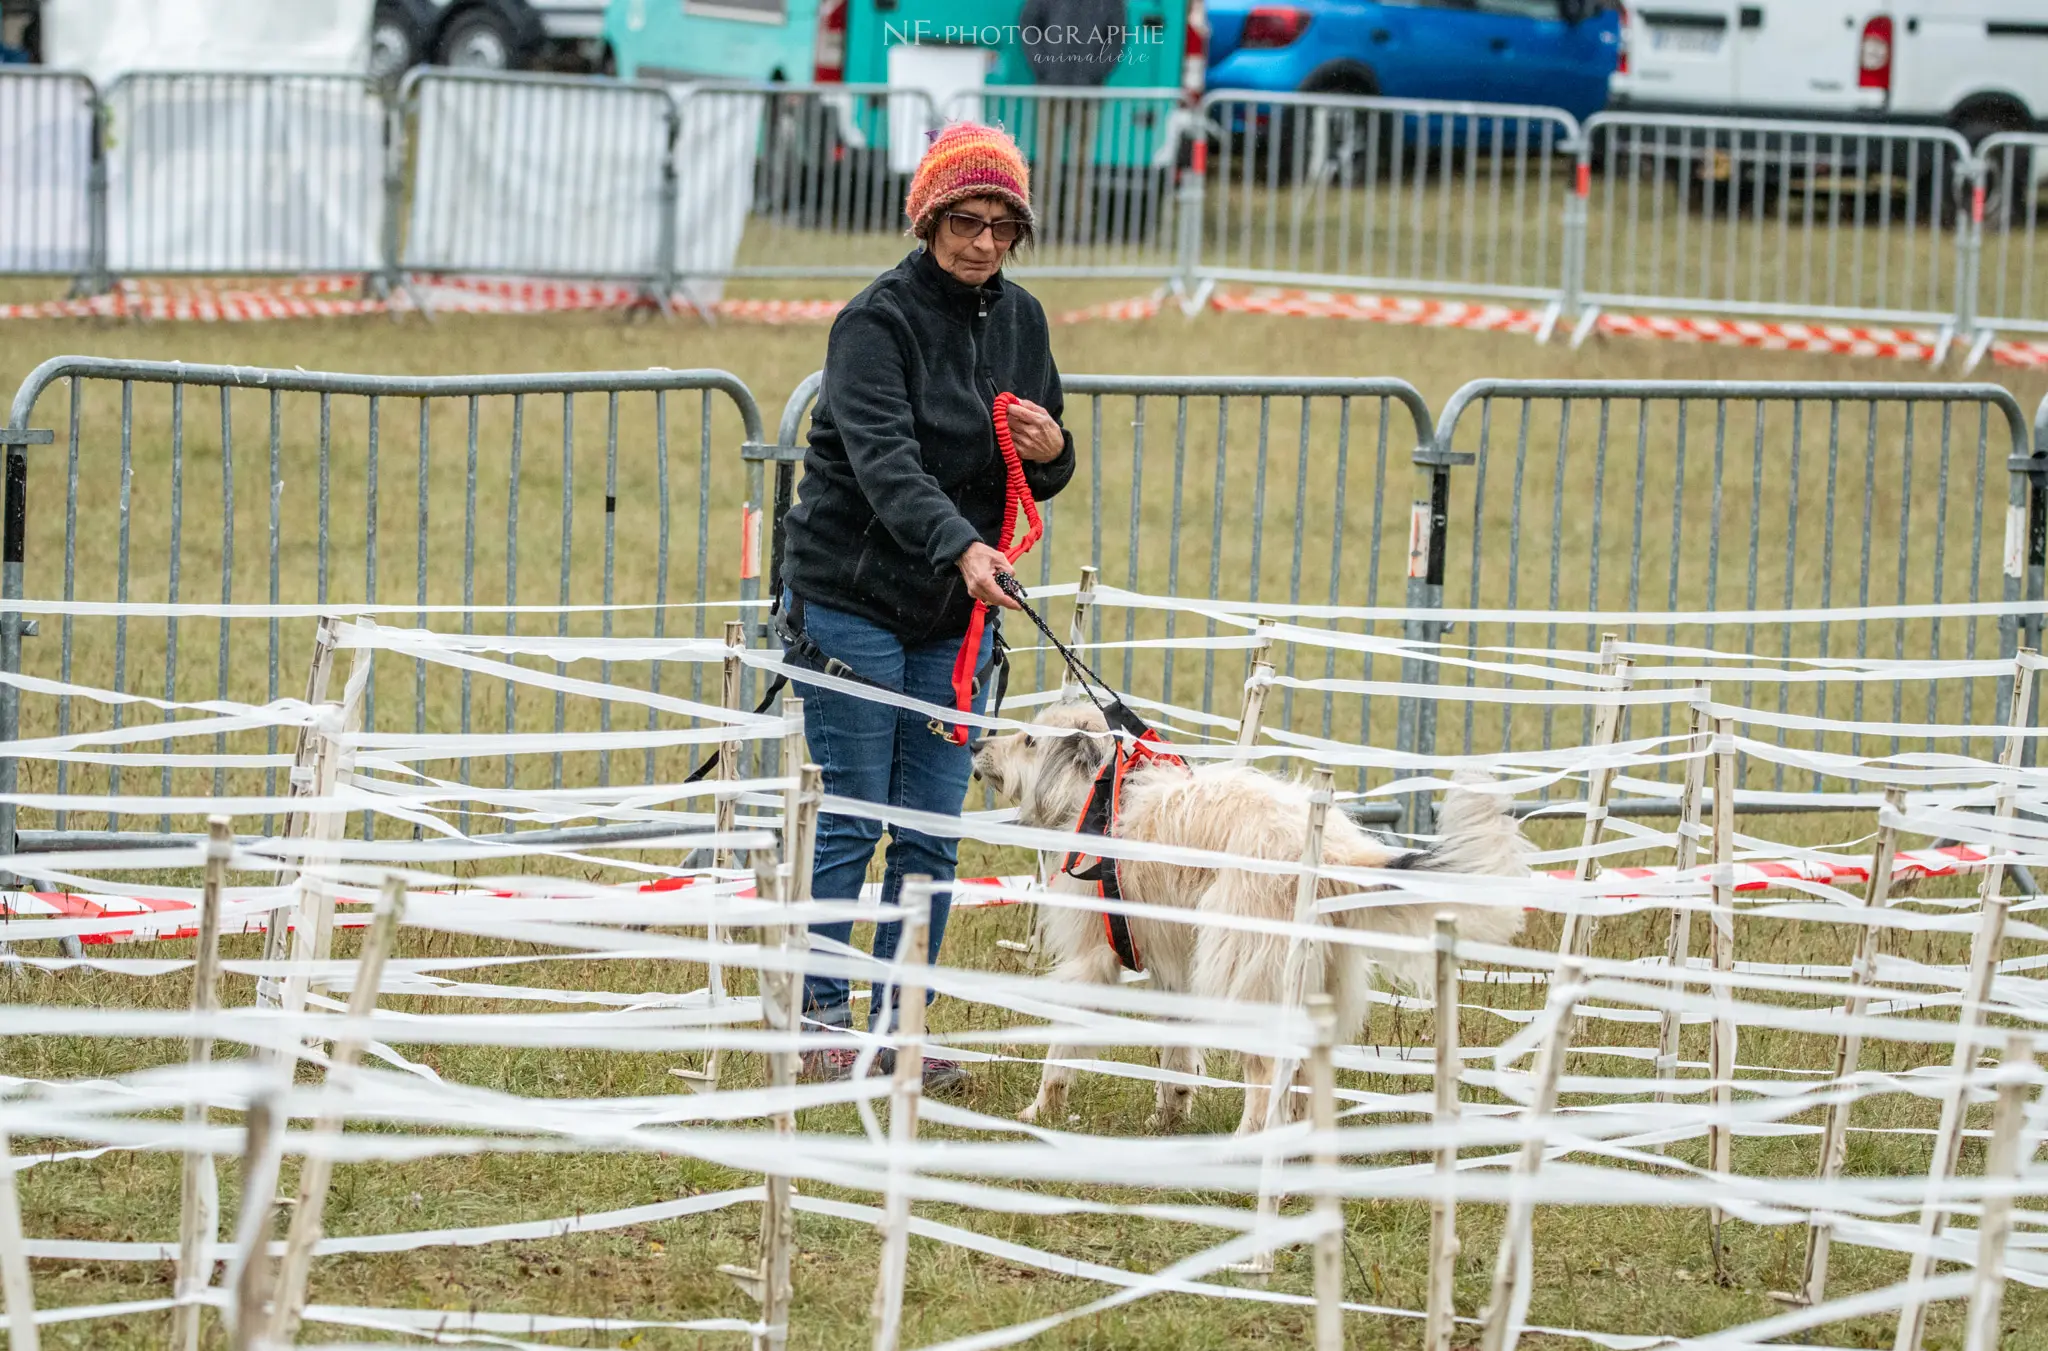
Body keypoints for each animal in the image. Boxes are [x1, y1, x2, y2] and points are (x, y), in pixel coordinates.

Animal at [966, 700, 1531, 1138]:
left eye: (1030, 740)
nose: (975, 746)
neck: (1101, 791)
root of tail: (1335, 853)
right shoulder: (1175, 966)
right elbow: (1176, 1055)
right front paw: (1168, 1118)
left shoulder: (1092, 959)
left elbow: (1060, 1050)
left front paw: (1041, 1111)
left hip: (1245, 970)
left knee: (1267, 1071)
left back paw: (1249, 1141)